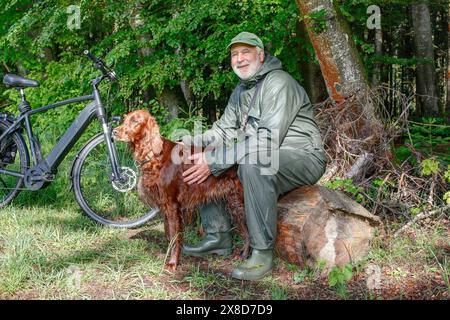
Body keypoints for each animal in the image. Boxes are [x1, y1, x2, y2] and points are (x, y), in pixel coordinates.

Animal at [112, 110, 250, 270]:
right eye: (125, 119)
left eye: (135, 121)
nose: (114, 132)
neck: (154, 155)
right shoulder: (164, 206)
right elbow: (168, 235)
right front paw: (168, 257)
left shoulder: (172, 205)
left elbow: (174, 236)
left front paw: (172, 263)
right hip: (234, 202)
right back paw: (243, 254)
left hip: (242, 201)